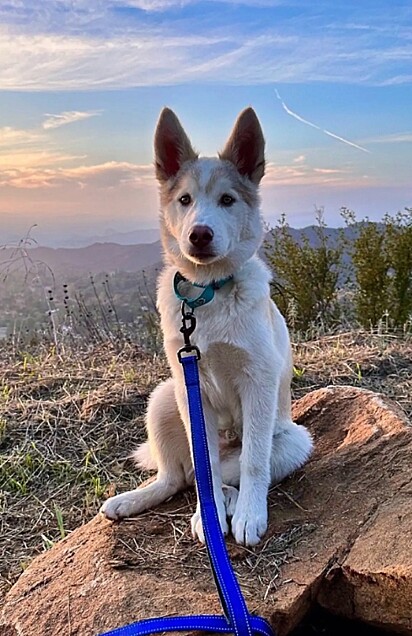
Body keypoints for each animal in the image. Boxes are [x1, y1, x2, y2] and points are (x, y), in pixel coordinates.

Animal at [101, 107, 314, 544]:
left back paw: (233, 502)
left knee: (226, 472)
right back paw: (136, 500)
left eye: (227, 200)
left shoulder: (258, 381)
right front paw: (210, 512)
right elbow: (206, 469)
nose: (199, 234)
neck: (208, 293)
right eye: (184, 200)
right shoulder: (189, 384)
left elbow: (253, 462)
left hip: (293, 440)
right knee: (180, 477)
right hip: (163, 398)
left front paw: (250, 514)